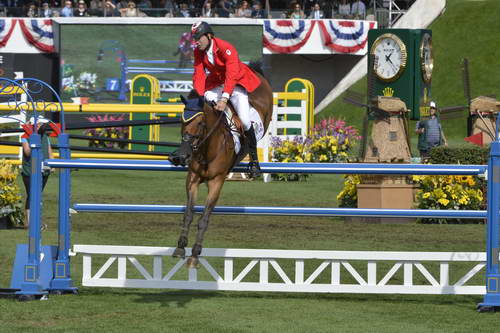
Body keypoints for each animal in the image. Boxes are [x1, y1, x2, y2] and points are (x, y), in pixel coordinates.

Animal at [172, 61, 274, 268]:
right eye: (182, 121)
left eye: (200, 123)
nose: (181, 156)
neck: (207, 148)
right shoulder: (193, 179)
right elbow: (189, 213)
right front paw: (180, 247)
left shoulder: (216, 182)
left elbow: (204, 218)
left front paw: (195, 254)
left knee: (252, 128)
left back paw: (254, 167)